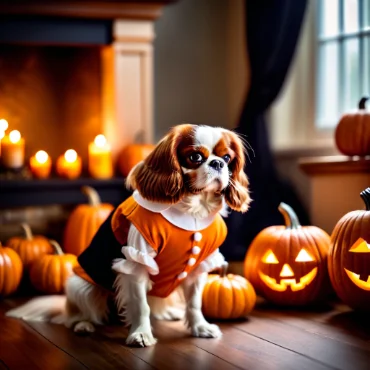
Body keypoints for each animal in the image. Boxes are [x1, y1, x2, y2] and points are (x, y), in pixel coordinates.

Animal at [6, 123, 251, 346]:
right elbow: (141, 305)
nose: (218, 163)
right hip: (81, 286)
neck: (191, 210)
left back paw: (167, 313)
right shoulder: (136, 261)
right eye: (195, 157)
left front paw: (200, 328)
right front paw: (141, 334)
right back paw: (83, 324)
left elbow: (194, 303)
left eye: (227, 157)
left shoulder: (198, 266)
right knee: (75, 315)